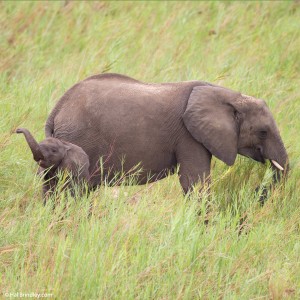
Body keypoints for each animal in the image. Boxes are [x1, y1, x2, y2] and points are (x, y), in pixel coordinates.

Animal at [44, 73, 288, 197]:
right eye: (263, 132)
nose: (255, 191)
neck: (230, 96)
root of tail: (57, 108)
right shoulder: (189, 136)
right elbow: (195, 182)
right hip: (78, 139)